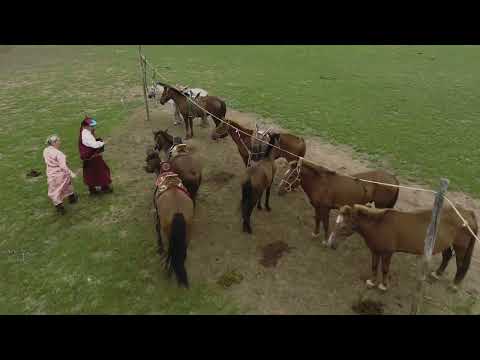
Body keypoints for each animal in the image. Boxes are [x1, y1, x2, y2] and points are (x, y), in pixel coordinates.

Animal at [144, 154, 195, 286]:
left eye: (148, 160)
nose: (145, 168)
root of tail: (178, 211)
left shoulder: (157, 215)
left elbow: (157, 229)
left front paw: (159, 247)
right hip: (187, 234)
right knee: (181, 253)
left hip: (169, 234)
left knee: (170, 252)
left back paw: (168, 271)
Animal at [326, 204, 476, 292]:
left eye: (343, 226)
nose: (331, 244)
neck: (379, 225)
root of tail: (468, 213)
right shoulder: (375, 251)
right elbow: (374, 266)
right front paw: (372, 282)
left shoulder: (387, 253)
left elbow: (385, 269)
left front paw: (383, 285)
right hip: (447, 244)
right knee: (447, 257)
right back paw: (437, 274)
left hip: (461, 248)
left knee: (461, 265)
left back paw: (454, 285)